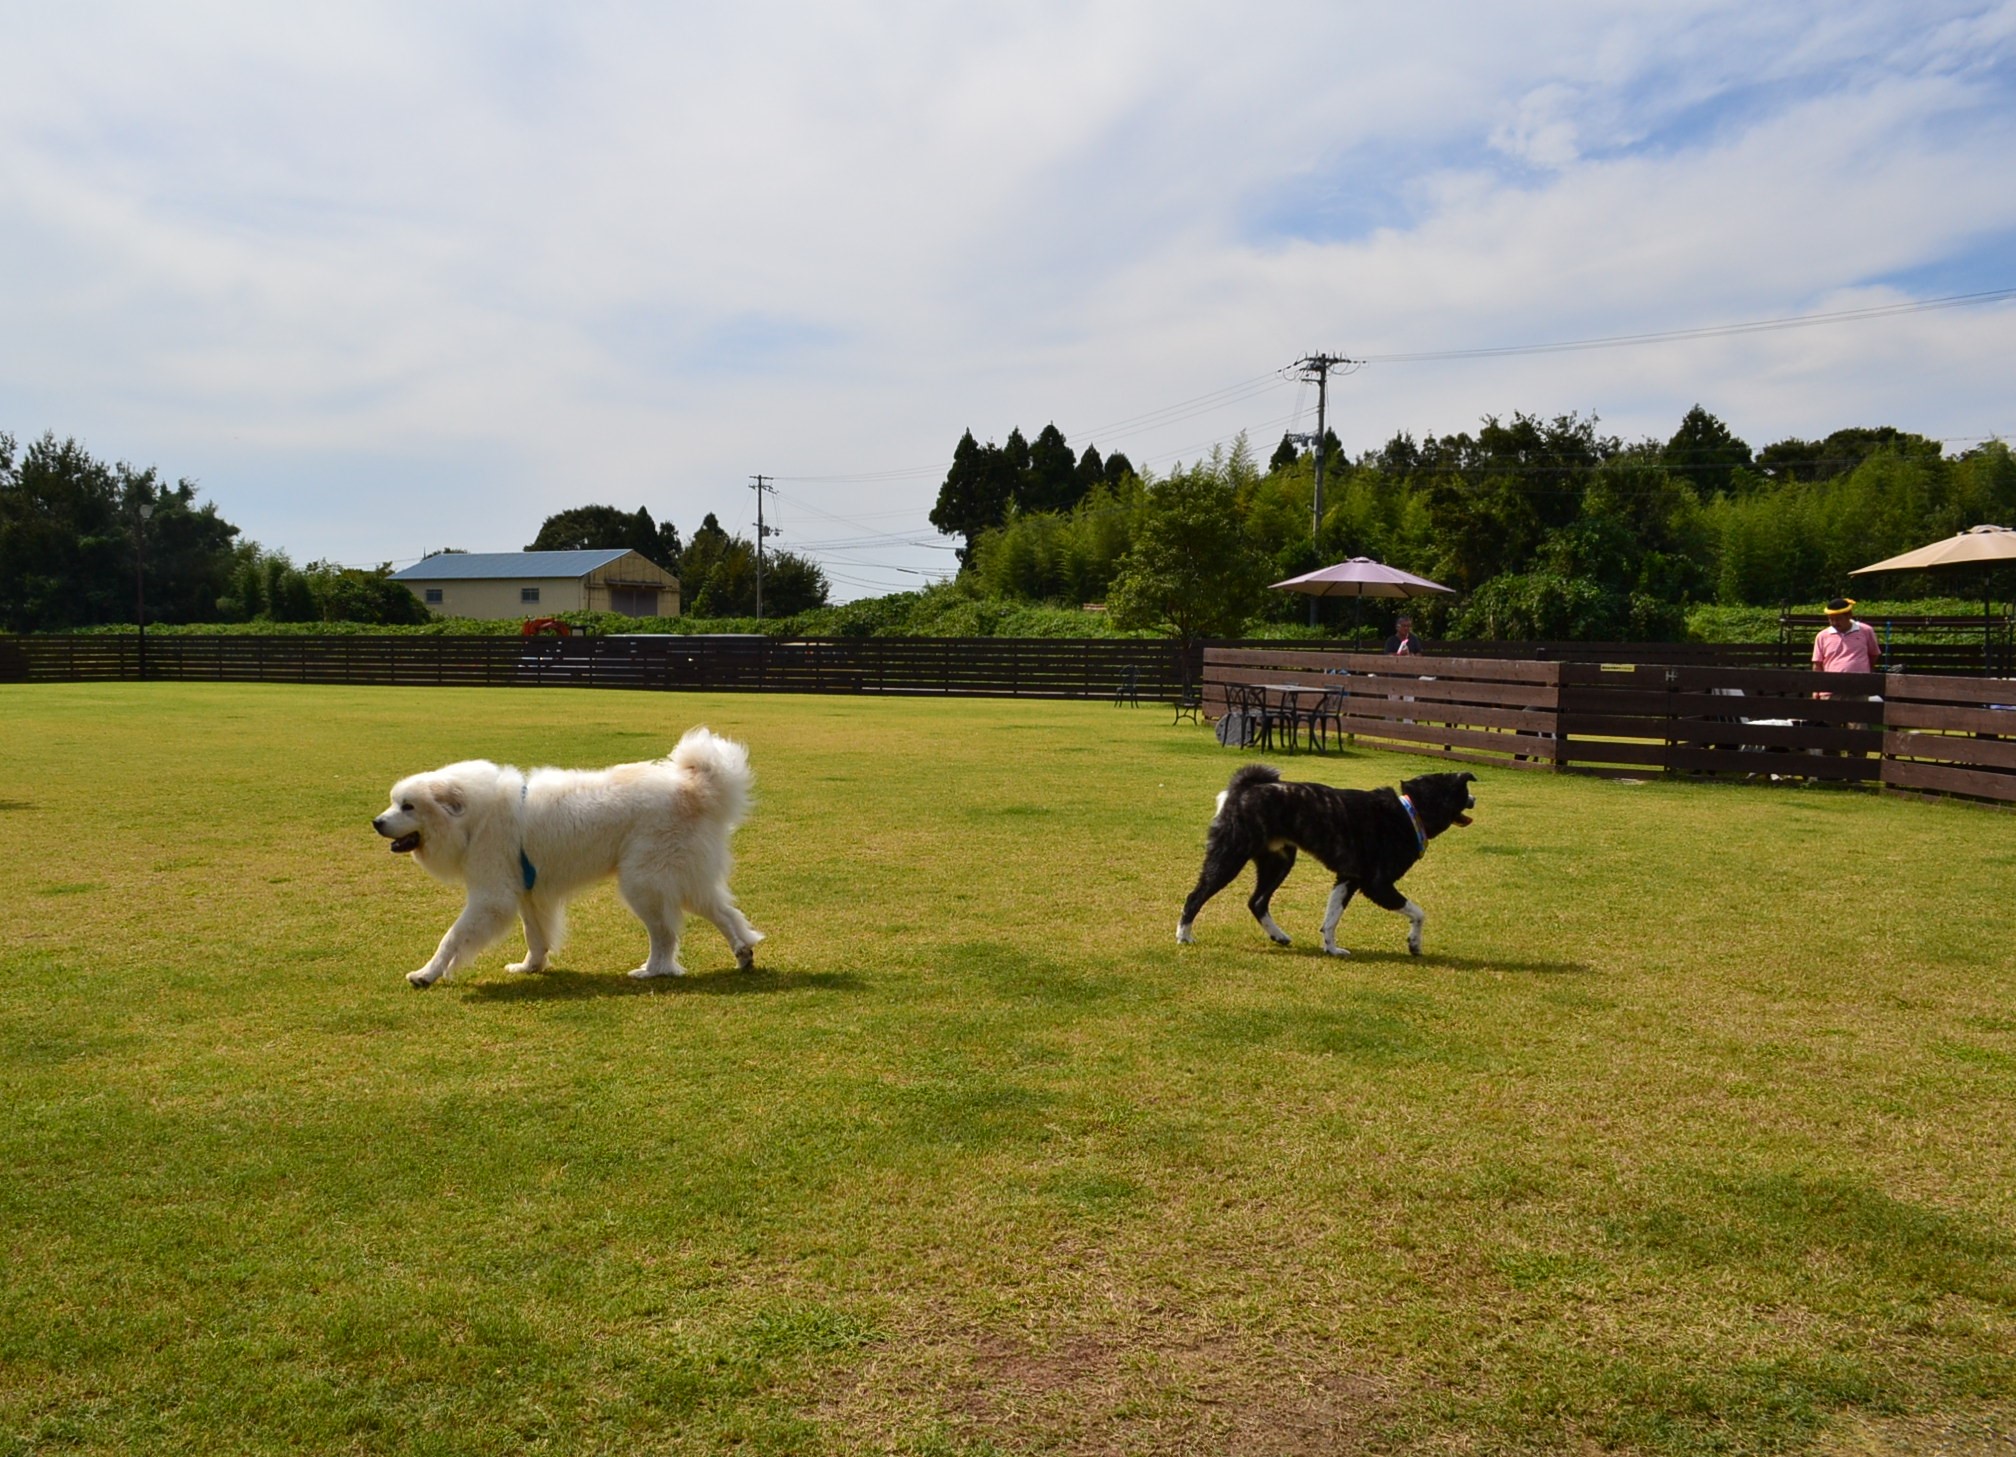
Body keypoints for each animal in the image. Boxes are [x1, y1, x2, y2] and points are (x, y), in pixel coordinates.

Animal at [370, 729, 762, 991]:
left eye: (408, 806)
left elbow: (452, 937)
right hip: (684, 880)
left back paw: (653, 970)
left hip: (643, 884)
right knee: (726, 913)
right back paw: (743, 953)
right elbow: (534, 936)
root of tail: (695, 788)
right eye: (394, 803)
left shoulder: (491, 898)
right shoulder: (527, 894)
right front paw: (531, 967)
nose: (376, 822)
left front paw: (426, 974)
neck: (474, 819)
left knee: (664, 935)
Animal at [1177, 761, 1475, 959]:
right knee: (1195, 897)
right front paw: (1414, 943)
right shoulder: (1377, 885)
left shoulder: (1347, 879)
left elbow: (1330, 919)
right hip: (1230, 858)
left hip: (1279, 863)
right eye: (1463, 792)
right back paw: (1184, 936)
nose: (1474, 798)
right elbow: (1419, 913)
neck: (1410, 813)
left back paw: (1278, 935)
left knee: (1257, 902)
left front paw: (1331, 948)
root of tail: (1244, 789)